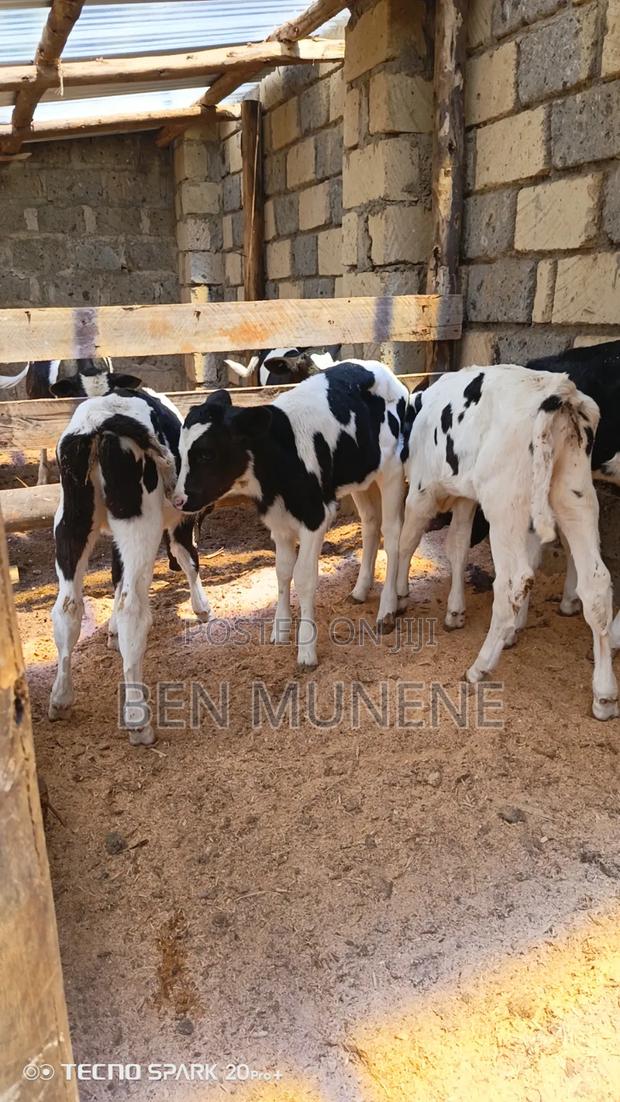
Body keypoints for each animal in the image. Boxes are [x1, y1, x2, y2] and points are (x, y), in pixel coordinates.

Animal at [48, 384, 211, 746]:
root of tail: (100, 420)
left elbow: (116, 575)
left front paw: (110, 632)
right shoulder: (181, 519)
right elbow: (188, 557)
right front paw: (202, 606)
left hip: (70, 522)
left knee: (67, 607)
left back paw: (61, 698)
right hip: (140, 523)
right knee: (132, 608)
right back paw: (138, 719)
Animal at [172, 361, 409, 668]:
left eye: (206, 454)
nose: (178, 500)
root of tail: (381, 369)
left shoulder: (316, 517)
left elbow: (304, 577)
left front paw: (306, 648)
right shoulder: (279, 522)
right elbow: (283, 571)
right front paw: (280, 629)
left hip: (392, 471)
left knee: (392, 534)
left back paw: (387, 609)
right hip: (361, 477)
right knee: (370, 523)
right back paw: (360, 590)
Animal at [397, 364, 618, 721]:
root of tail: (558, 391)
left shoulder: (421, 490)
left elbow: (406, 541)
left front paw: (399, 596)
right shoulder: (465, 497)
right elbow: (457, 547)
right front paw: (455, 611)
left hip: (504, 503)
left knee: (514, 580)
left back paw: (480, 666)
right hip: (575, 494)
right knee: (595, 584)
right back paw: (604, 695)